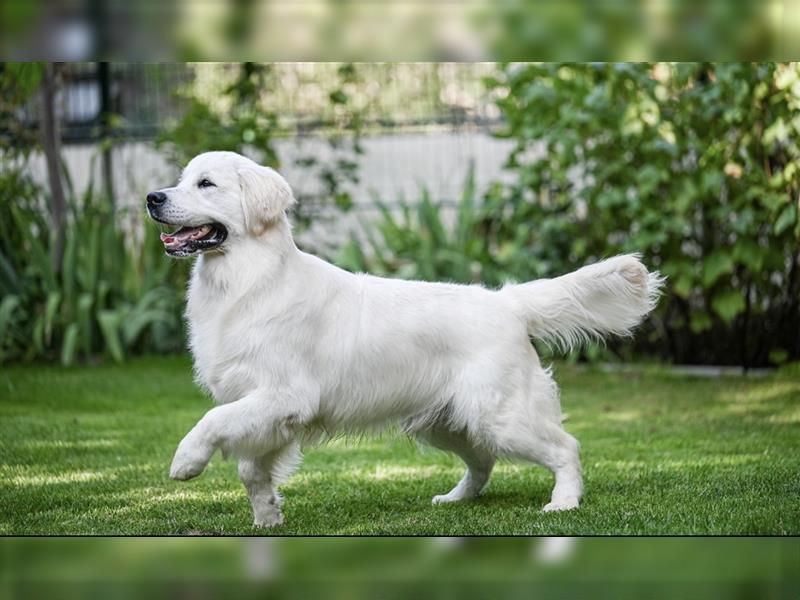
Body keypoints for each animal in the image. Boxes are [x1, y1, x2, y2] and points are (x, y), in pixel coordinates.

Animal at [147, 151, 664, 528]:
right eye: (180, 179)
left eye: (206, 184)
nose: (152, 197)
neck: (248, 281)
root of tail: (506, 302)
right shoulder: (266, 410)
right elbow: (250, 469)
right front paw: (268, 517)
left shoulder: (284, 395)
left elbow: (212, 421)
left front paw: (186, 462)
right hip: (446, 422)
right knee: (483, 462)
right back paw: (455, 499)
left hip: (500, 416)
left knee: (565, 447)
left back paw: (564, 502)